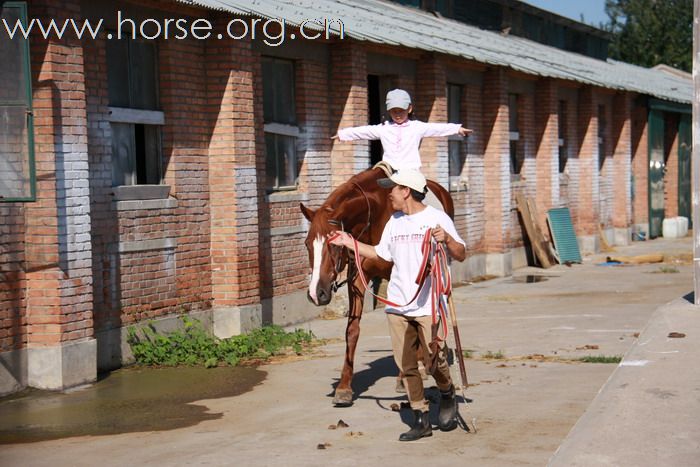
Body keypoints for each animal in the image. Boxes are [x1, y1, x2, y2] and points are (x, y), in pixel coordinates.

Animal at [300, 168, 454, 406]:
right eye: (308, 244)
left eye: (333, 245)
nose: (317, 293)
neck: (374, 218)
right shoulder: (356, 279)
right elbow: (352, 330)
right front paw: (344, 387)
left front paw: (403, 378)